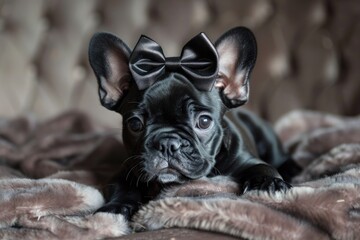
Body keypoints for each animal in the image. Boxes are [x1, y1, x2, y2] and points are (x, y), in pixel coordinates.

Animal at [88, 26, 292, 219]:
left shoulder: (248, 161)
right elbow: (122, 188)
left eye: (204, 121)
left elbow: (264, 167)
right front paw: (116, 207)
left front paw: (268, 184)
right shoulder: (127, 170)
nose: (167, 144)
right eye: (135, 124)